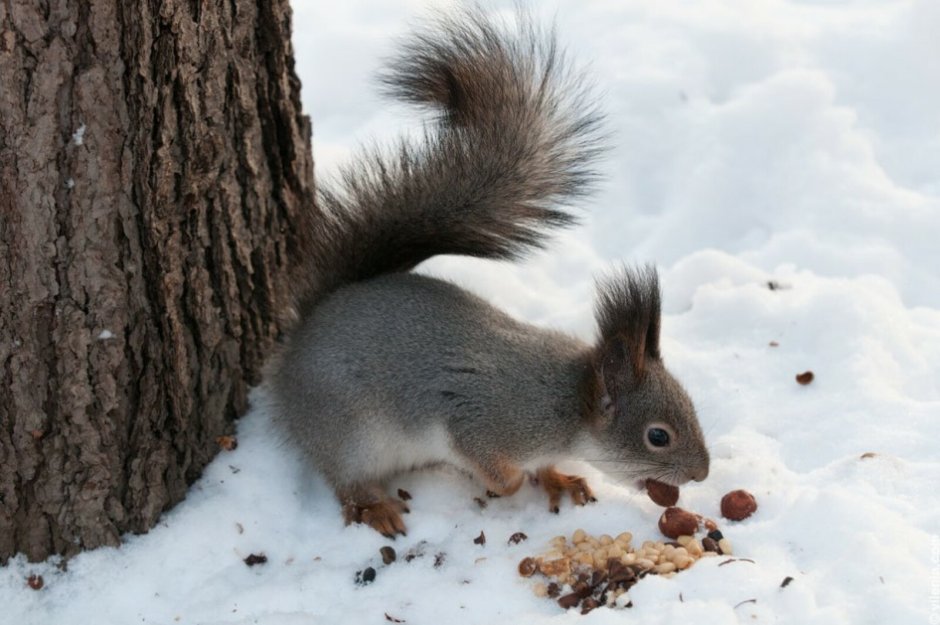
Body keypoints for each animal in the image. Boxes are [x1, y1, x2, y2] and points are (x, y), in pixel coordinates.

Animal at [264, 7, 704, 536]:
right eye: (658, 436)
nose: (702, 473)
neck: (568, 404)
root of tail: (300, 340)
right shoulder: (483, 418)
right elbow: (491, 463)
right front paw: (504, 486)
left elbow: (544, 467)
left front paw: (558, 478)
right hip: (350, 433)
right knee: (345, 481)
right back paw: (375, 506)